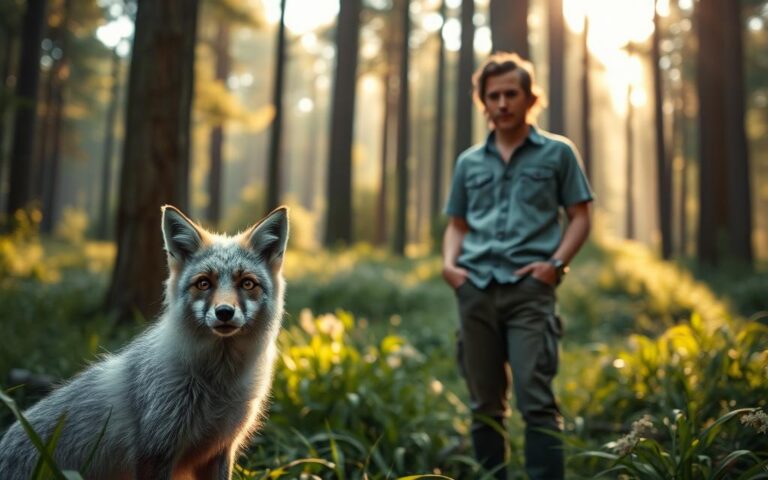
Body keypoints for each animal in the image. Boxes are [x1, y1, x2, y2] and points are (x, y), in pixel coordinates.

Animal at [0, 205, 289, 479]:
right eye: (204, 283)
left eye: (247, 284)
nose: (225, 312)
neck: (217, 384)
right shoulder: (154, 451)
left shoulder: (219, 451)